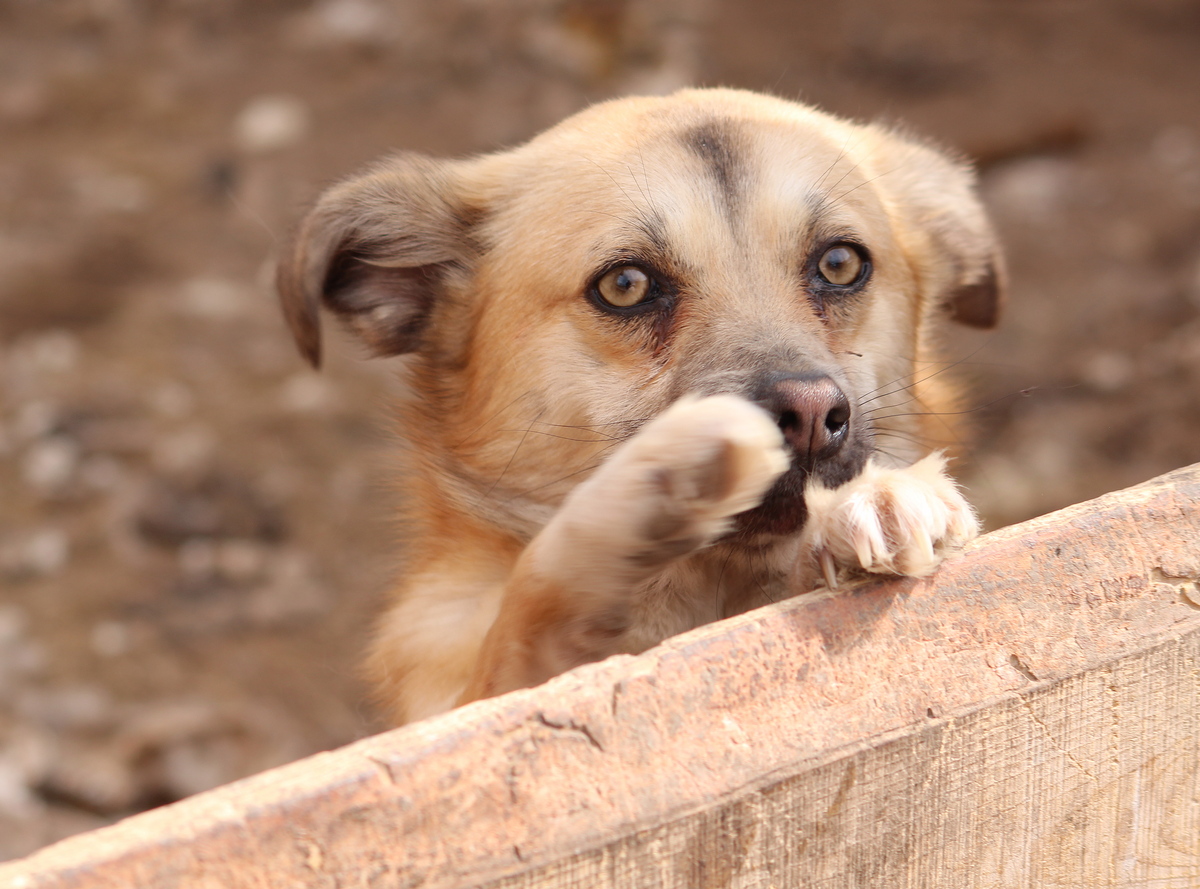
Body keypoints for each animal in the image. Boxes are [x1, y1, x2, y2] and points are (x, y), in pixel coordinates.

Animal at [276, 88, 998, 729]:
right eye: (625, 285)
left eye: (841, 263)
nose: (811, 413)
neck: (714, 590)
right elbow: (532, 603)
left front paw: (875, 498)